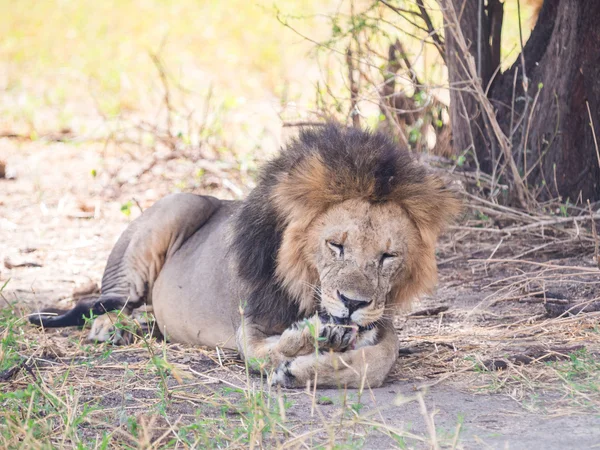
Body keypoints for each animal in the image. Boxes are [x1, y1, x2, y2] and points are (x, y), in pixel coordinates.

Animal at [29, 123, 460, 386]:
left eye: (388, 256)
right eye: (335, 245)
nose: (353, 303)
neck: (307, 287)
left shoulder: (382, 324)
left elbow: (380, 362)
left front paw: (312, 369)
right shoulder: (248, 326)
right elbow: (268, 351)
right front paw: (310, 342)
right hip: (172, 210)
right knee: (110, 301)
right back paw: (111, 328)